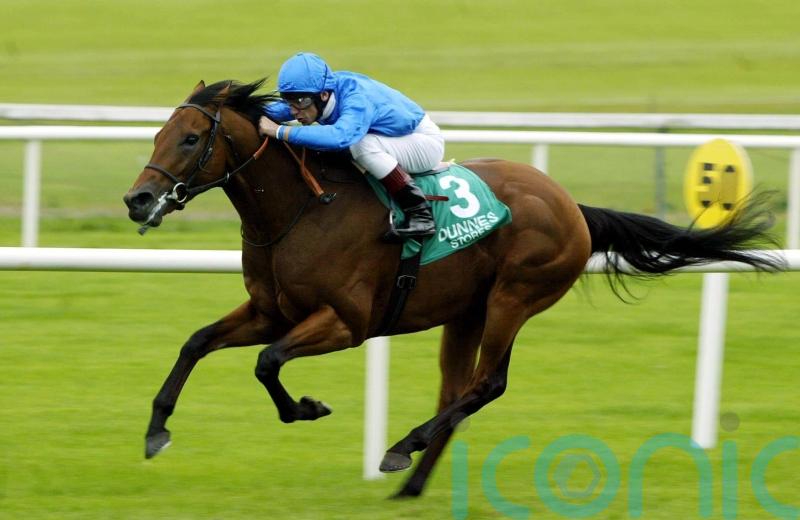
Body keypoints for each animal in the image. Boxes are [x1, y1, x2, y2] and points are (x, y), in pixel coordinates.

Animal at [123, 79, 780, 497]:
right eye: (157, 133)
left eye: (189, 139)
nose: (137, 199)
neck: (304, 209)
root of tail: (573, 206)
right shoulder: (271, 310)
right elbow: (197, 341)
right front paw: (156, 431)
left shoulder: (345, 323)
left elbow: (267, 362)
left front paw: (307, 407)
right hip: (465, 312)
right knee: (457, 392)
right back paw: (411, 482)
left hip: (514, 297)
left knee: (487, 384)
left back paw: (401, 448)